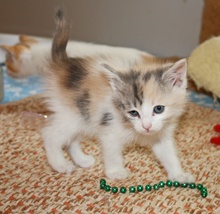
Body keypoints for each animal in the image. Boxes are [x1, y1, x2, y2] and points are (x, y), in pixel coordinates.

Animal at [41, 8, 194, 182]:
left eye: (158, 109)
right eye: (133, 112)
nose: (146, 126)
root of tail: (63, 63)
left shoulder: (161, 134)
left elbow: (169, 155)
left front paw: (179, 175)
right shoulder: (109, 128)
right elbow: (112, 153)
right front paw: (115, 172)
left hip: (82, 116)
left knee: (71, 139)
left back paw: (82, 160)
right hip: (71, 114)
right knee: (50, 134)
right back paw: (59, 164)